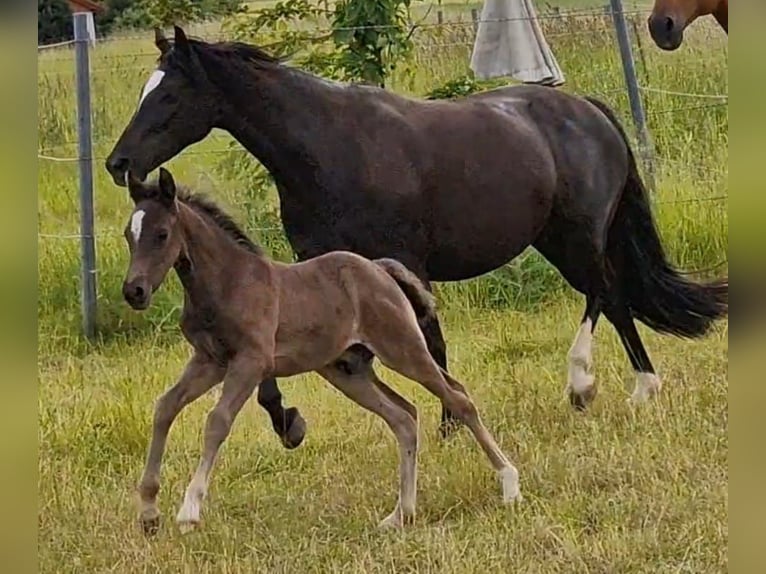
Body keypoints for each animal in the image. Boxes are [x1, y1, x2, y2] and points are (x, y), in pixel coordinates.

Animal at [124, 170, 520, 536]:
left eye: (162, 234)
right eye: (129, 235)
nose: (134, 291)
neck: (227, 282)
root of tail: (379, 269)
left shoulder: (250, 361)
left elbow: (217, 421)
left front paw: (189, 511)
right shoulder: (209, 361)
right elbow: (165, 407)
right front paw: (149, 512)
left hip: (402, 348)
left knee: (458, 397)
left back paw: (509, 485)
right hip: (348, 370)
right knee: (404, 417)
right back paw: (400, 514)